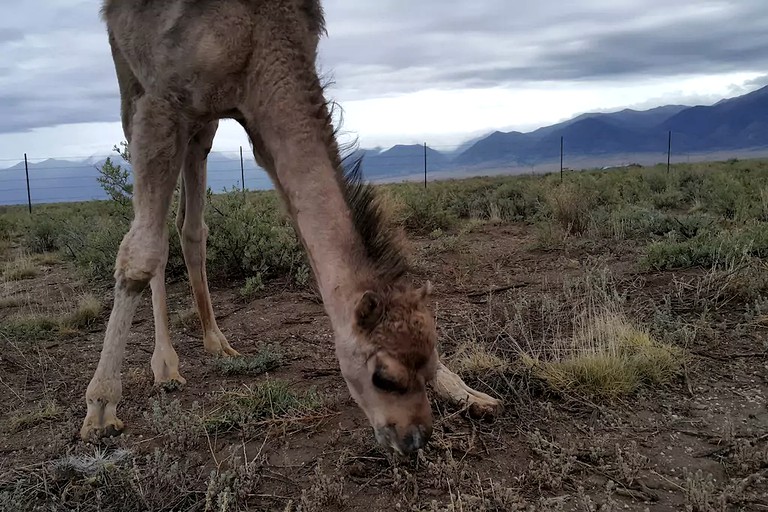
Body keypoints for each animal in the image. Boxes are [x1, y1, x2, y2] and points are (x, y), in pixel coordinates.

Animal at [82, 0, 504, 456]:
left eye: (426, 366)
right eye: (384, 377)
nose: (414, 437)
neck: (259, 37)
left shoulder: (254, 115)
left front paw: (468, 392)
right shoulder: (163, 97)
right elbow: (139, 254)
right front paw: (101, 408)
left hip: (203, 126)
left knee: (190, 227)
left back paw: (217, 341)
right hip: (133, 81)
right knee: (152, 234)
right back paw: (165, 367)